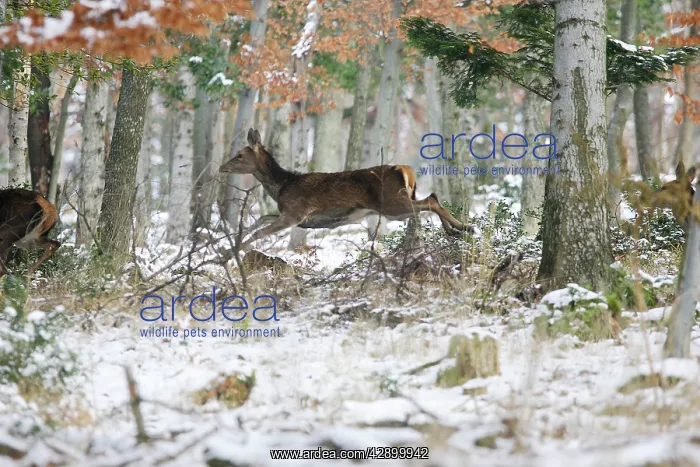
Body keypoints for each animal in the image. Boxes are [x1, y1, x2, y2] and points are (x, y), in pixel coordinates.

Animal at [219, 128, 474, 249]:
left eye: (240, 155)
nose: (222, 167)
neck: (282, 186)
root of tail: (404, 170)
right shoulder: (293, 216)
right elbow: (262, 219)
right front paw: (233, 241)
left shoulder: (295, 213)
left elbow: (261, 231)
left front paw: (233, 251)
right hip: (399, 204)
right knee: (432, 197)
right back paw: (454, 230)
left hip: (392, 205)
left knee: (430, 201)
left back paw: (465, 227)